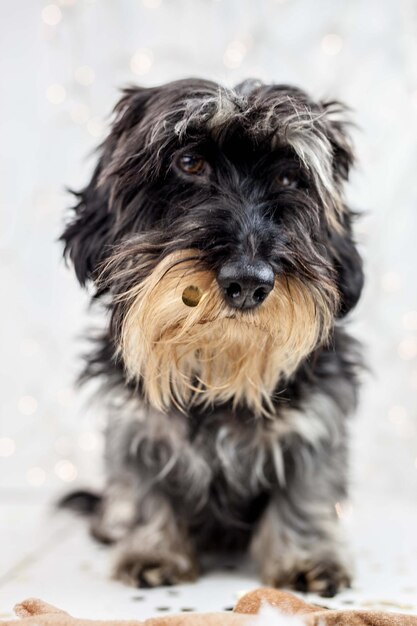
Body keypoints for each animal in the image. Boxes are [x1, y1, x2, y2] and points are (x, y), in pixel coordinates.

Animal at [60, 78, 362, 596]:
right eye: (188, 162)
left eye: (290, 177)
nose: (249, 282)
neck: (218, 364)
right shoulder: (136, 426)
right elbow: (145, 488)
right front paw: (153, 550)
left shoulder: (316, 420)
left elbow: (305, 492)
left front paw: (305, 558)